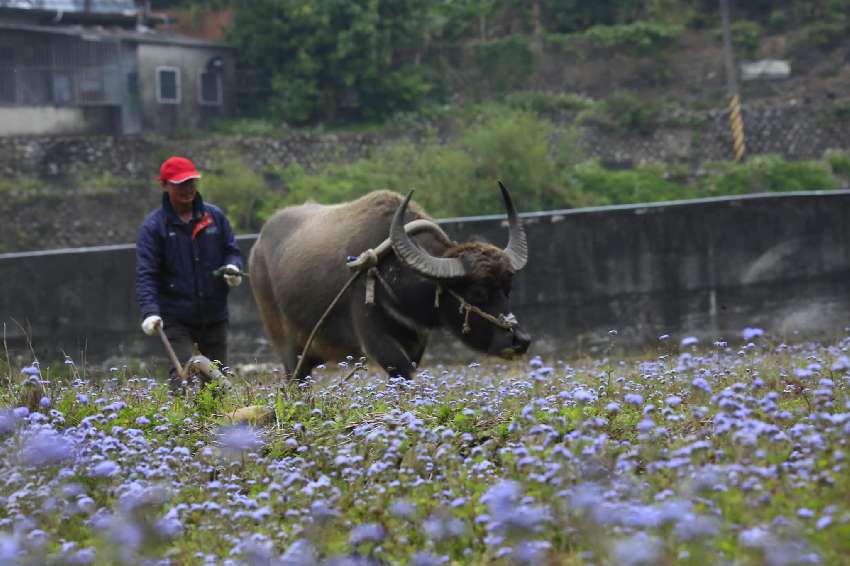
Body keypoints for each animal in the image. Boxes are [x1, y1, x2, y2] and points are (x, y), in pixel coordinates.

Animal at [248, 184, 528, 380]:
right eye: (477, 292)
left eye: (508, 289)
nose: (521, 341)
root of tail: (257, 249)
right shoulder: (377, 341)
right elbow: (403, 373)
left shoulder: (417, 342)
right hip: (287, 347)